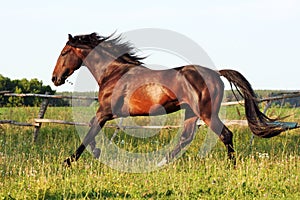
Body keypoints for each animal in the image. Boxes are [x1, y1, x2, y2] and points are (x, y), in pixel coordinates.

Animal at [51, 33, 292, 167]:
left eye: (63, 53)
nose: (55, 78)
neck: (114, 72)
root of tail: (216, 73)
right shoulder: (107, 113)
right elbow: (90, 129)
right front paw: (91, 154)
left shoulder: (105, 111)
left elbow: (89, 130)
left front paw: (68, 161)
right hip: (191, 113)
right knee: (185, 138)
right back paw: (161, 162)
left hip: (206, 113)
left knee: (225, 134)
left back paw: (232, 167)